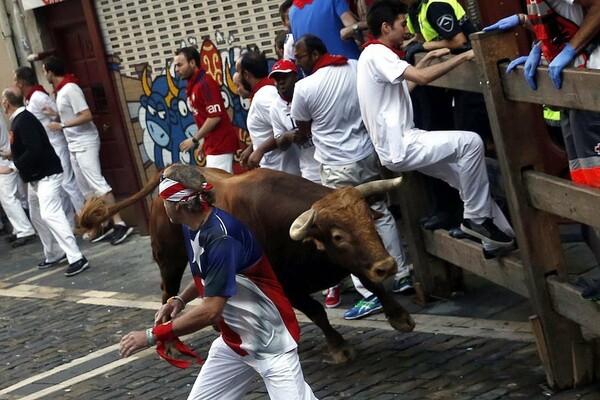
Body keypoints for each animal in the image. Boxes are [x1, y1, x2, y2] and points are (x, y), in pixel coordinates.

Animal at [82, 167, 414, 364]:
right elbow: (317, 311)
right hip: (169, 259)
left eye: (369, 219)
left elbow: (369, 281)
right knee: (168, 292)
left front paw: (399, 316)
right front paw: (338, 347)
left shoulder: (352, 261)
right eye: (337, 235)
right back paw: (174, 344)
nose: (388, 265)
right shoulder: (288, 285)